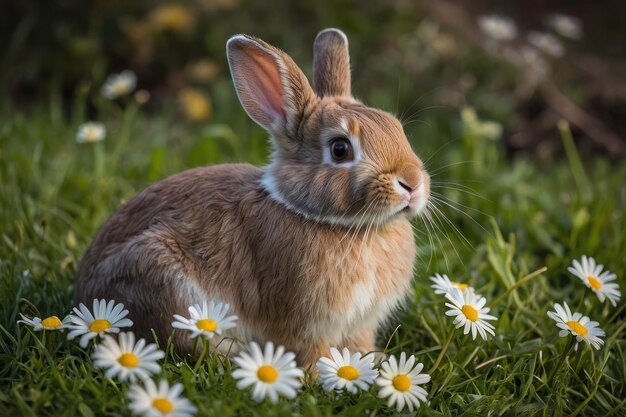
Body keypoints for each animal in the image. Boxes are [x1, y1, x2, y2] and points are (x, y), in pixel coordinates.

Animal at [74, 28, 428, 364]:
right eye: (340, 149)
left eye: (397, 129)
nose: (412, 183)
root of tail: (85, 297)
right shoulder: (305, 325)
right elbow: (314, 354)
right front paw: (323, 377)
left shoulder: (360, 324)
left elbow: (359, 345)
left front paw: (373, 363)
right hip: (162, 281)